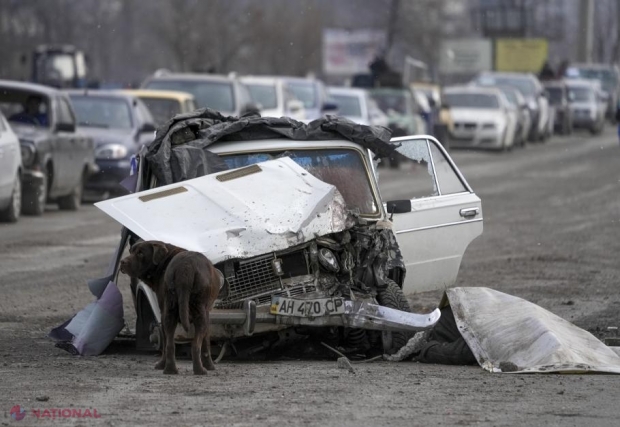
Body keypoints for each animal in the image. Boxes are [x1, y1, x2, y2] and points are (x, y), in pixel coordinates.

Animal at [119, 242, 220, 376]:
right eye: (131, 251)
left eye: (140, 253)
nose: (122, 262)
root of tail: (186, 268)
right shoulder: (207, 313)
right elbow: (206, 342)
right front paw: (210, 366)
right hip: (198, 314)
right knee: (194, 344)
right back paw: (199, 370)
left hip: (170, 312)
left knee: (170, 345)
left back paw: (170, 369)